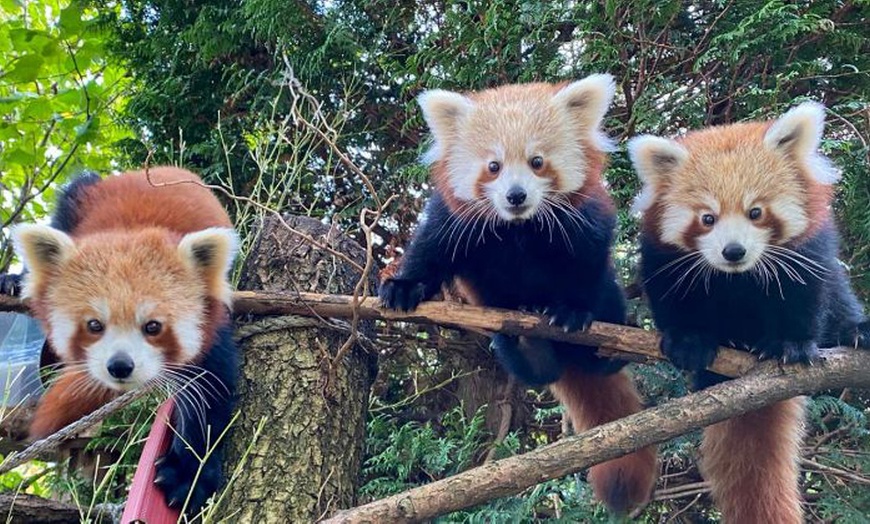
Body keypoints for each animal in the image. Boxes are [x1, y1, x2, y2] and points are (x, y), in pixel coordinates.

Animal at [5, 168, 242, 512]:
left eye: (153, 327)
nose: (119, 366)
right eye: (94, 325)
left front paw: (189, 474)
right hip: (83, 195)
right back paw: (13, 280)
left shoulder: (210, 325)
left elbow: (210, 396)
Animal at [378, 75, 656, 512]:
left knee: (604, 330)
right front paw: (405, 285)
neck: (519, 227)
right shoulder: (454, 218)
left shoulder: (584, 221)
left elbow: (586, 266)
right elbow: (430, 249)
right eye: (493, 166)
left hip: (610, 304)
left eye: (537, 161)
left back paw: (604, 341)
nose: (515, 195)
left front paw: (572, 310)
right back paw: (524, 342)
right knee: (535, 369)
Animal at [632, 101, 870, 520]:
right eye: (707, 218)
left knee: (840, 298)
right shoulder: (665, 260)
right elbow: (674, 302)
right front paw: (690, 342)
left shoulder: (807, 251)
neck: (737, 278)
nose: (733, 251)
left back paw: (854, 330)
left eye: (755, 212)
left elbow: (806, 296)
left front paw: (791, 344)